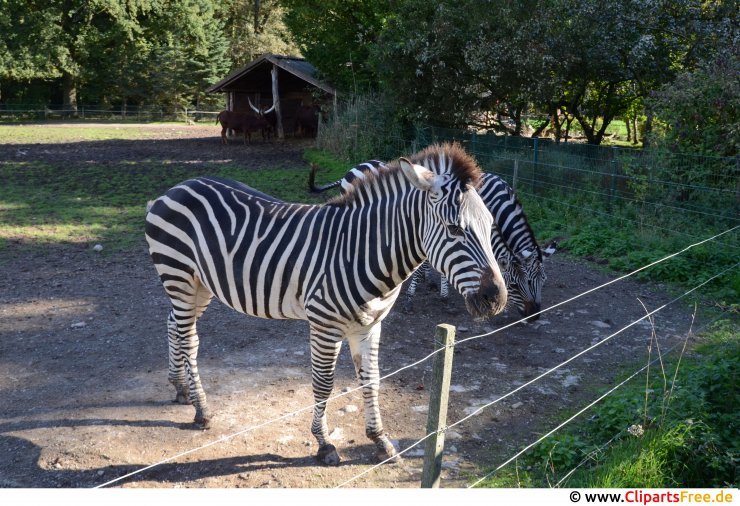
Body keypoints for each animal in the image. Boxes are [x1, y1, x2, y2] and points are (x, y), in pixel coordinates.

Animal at [145, 143, 507, 466]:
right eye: (454, 229)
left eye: (491, 226)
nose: (496, 299)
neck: (364, 252)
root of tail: (175, 188)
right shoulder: (324, 324)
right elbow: (324, 384)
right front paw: (324, 444)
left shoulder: (370, 326)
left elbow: (372, 379)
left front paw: (380, 440)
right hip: (180, 275)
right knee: (187, 338)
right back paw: (201, 410)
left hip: (200, 284)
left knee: (174, 325)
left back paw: (180, 388)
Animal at [310, 164, 558, 319]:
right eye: (516, 285)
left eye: (544, 281)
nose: (534, 317)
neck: (499, 201)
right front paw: (415, 295)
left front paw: (439, 288)